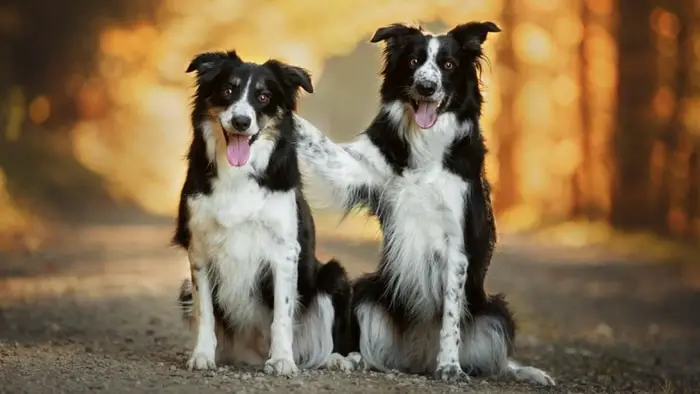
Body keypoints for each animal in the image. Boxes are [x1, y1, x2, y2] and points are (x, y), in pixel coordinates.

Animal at [173, 50, 352, 378]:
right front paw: (201, 355)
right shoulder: (199, 248)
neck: (238, 173)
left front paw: (282, 360)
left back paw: (336, 359)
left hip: (334, 276)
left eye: (264, 96)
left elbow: (282, 313)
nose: (241, 121)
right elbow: (205, 313)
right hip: (184, 289)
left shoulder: (284, 251)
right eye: (228, 90)